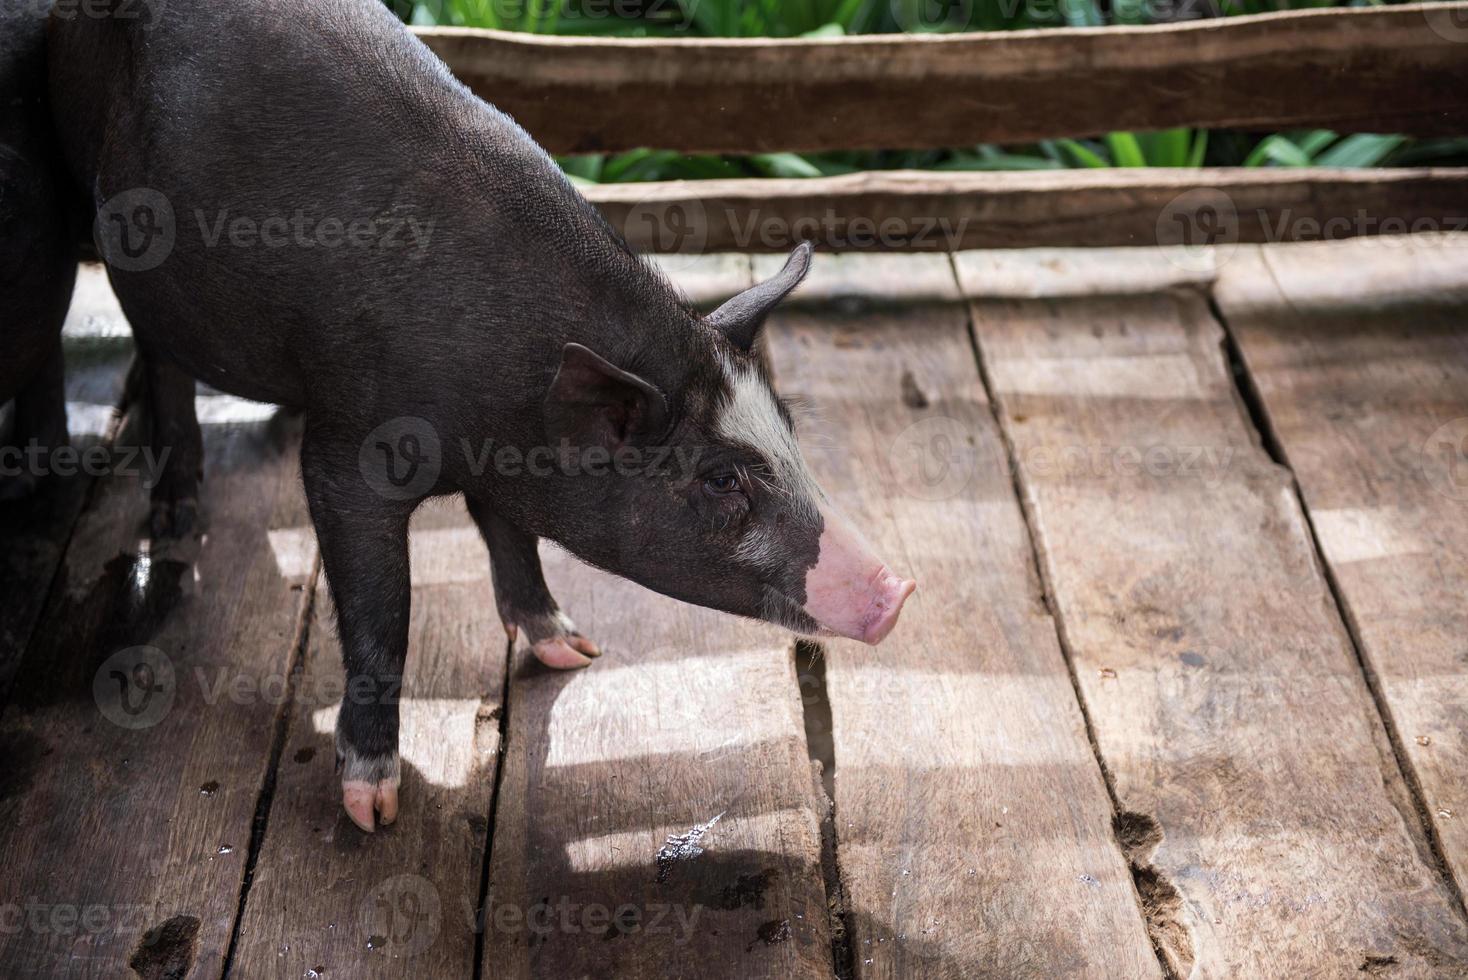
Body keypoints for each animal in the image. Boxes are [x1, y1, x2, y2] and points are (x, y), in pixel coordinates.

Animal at [51, 0, 910, 833]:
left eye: (788, 430)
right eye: (723, 478)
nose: (900, 588)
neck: (504, 413)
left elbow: (511, 533)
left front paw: (573, 650)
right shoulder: (345, 450)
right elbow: (384, 611)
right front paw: (373, 811)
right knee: (155, 349)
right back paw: (178, 514)